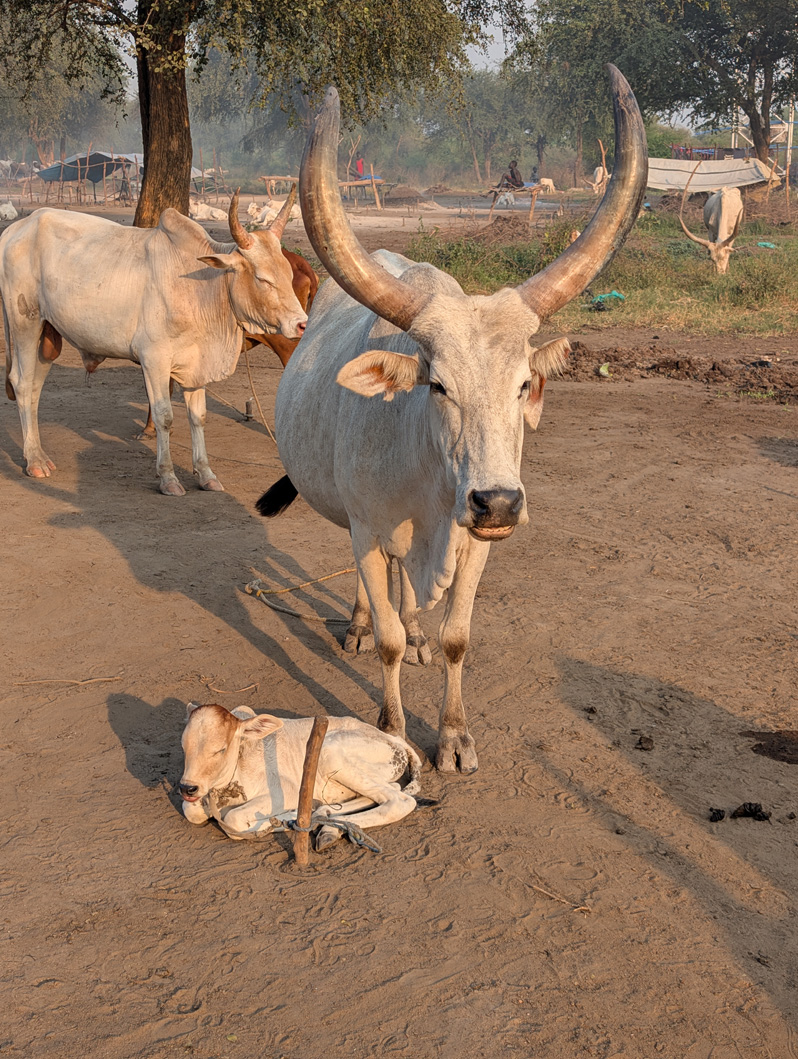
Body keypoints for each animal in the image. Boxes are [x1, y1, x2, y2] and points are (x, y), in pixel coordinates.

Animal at [1, 189, 307, 494]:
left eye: (289, 274)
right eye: (262, 279)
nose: (301, 323)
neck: (204, 286)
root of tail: (16, 229)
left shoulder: (196, 364)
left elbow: (198, 416)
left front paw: (206, 474)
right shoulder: (154, 359)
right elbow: (164, 416)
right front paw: (168, 477)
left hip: (47, 335)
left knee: (35, 388)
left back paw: (38, 454)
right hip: (25, 322)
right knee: (22, 383)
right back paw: (35, 461)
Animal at [179, 702, 421, 849]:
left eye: (220, 749)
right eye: (183, 745)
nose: (187, 788)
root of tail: (395, 740)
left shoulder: (287, 790)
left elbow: (234, 820)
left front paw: (275, 822)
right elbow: (191, 811)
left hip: (330, 752)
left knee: (399, 801)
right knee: (385, 792)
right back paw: (324, 821)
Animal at [259, 66, 647, 774]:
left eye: (522, 385)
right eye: (437, 385)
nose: (498, 502)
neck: (428, 480)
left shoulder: (474, 544)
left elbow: (458, 638)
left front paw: (456, 735)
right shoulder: (367, 527)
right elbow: (384, 637)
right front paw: (393, 728)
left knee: (408, 594)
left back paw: (417, 631)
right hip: (354, 521)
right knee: (379, 589)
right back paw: (362, 625)